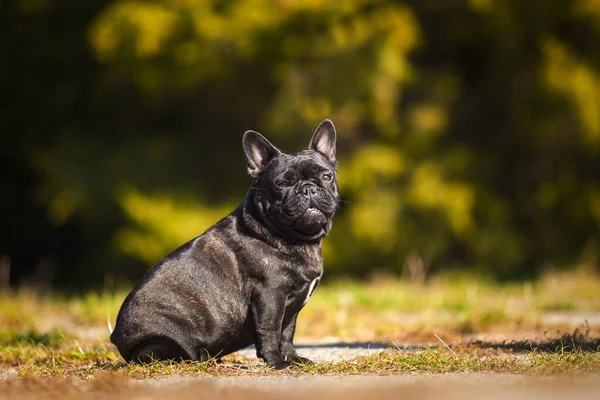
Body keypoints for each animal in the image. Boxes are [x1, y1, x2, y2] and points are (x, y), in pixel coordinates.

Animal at [110, 119, 340, 368]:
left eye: (326, 177)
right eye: (282, 183)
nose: (308, 187)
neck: (295, 238)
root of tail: (116, 338)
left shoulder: (292, 306)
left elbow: (287, 332)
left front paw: (294, 359)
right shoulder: (270, 296)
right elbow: (270, 331)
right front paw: (277, 363)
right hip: (162, 341)